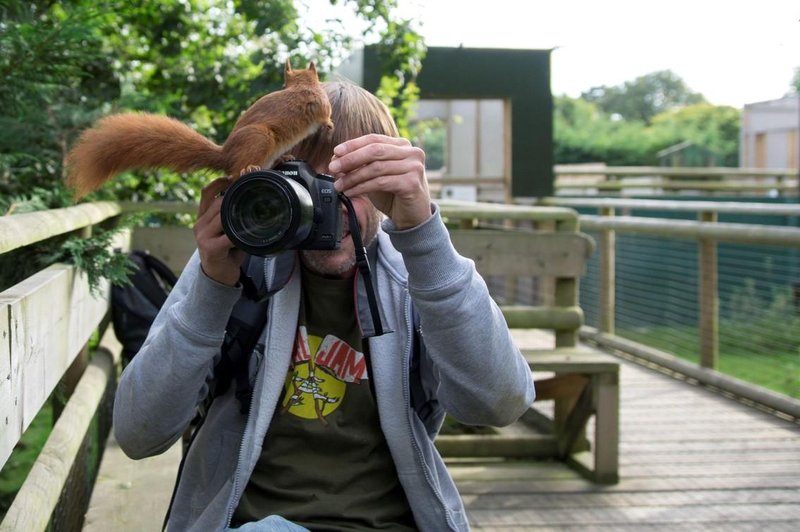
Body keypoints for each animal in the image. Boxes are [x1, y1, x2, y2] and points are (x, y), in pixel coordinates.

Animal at [64, 60, 334, 197]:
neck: (301, 85)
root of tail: (226, 155)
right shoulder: (319, 102)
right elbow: (324, 113)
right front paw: (329, 124)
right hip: (260, 139)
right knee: (233, 175)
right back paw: (247, 169)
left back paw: (284, 158)